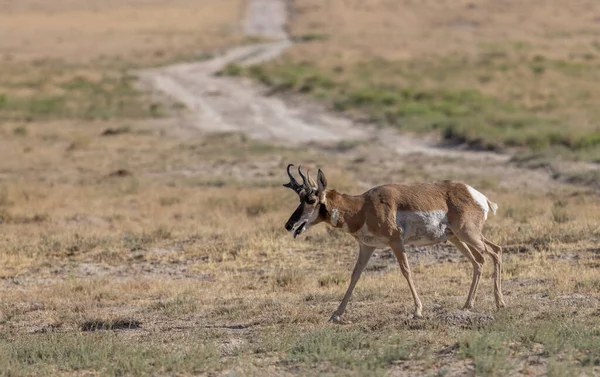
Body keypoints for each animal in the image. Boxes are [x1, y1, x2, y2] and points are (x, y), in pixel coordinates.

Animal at [284, 163, 504, 322]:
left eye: (311, 200)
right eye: (299, 198)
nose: (289, 225)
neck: (364, 206)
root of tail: (477, 195)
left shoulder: (396, 242)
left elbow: (406, 270)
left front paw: (418, 310)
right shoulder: (367, 246)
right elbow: (355, 275)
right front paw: (336, 314)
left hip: (468, 234)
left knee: (494, 252)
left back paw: (499, 303)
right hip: (457, 238)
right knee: (480, 260)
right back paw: (468, 305)